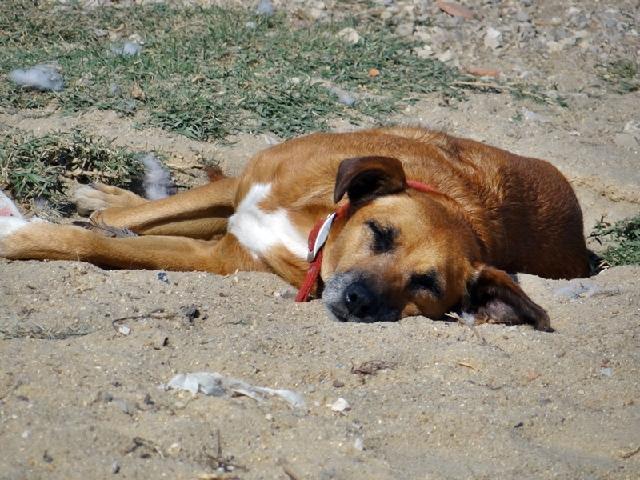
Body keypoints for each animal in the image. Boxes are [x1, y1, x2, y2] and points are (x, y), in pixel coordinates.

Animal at [0, 126, 592, 330]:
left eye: (426, 284)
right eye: (380, 233)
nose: (357, 301)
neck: (313, 231)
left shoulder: (217, 256)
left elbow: (101, 245)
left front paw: (27, 236)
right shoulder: (241, 189)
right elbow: (129, 222)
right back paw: (102, 195)